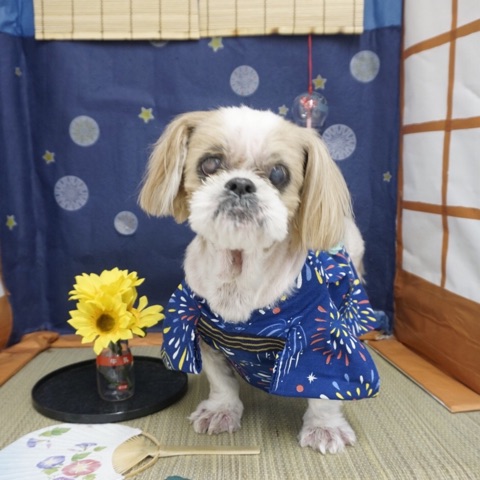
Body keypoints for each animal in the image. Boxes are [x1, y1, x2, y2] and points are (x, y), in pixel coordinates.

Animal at [139, 106, 379, 454]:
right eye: (210, 163)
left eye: (279, 174)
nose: (240, 184)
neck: (238, 274)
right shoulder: (202, 331)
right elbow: (221, 382)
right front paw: (221, 411)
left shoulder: (322, 339)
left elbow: (327, 388)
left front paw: (325, 428)